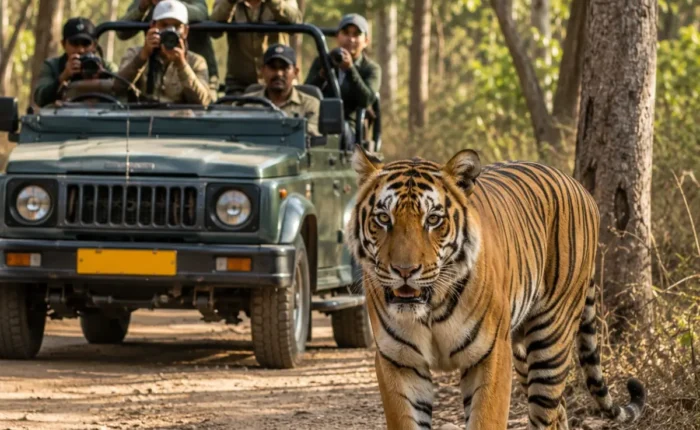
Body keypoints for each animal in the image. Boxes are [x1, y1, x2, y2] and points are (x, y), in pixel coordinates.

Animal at [345, 145, 646, 429]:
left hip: (551, 339)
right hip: (522, 351)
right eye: (384, 218)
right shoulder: (399, 361)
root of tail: (580, 187)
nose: (404, 271)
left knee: (546, 413)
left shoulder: (491, 355)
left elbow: (486, 420)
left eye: (433, 220)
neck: (431, 306)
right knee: (559, 411)